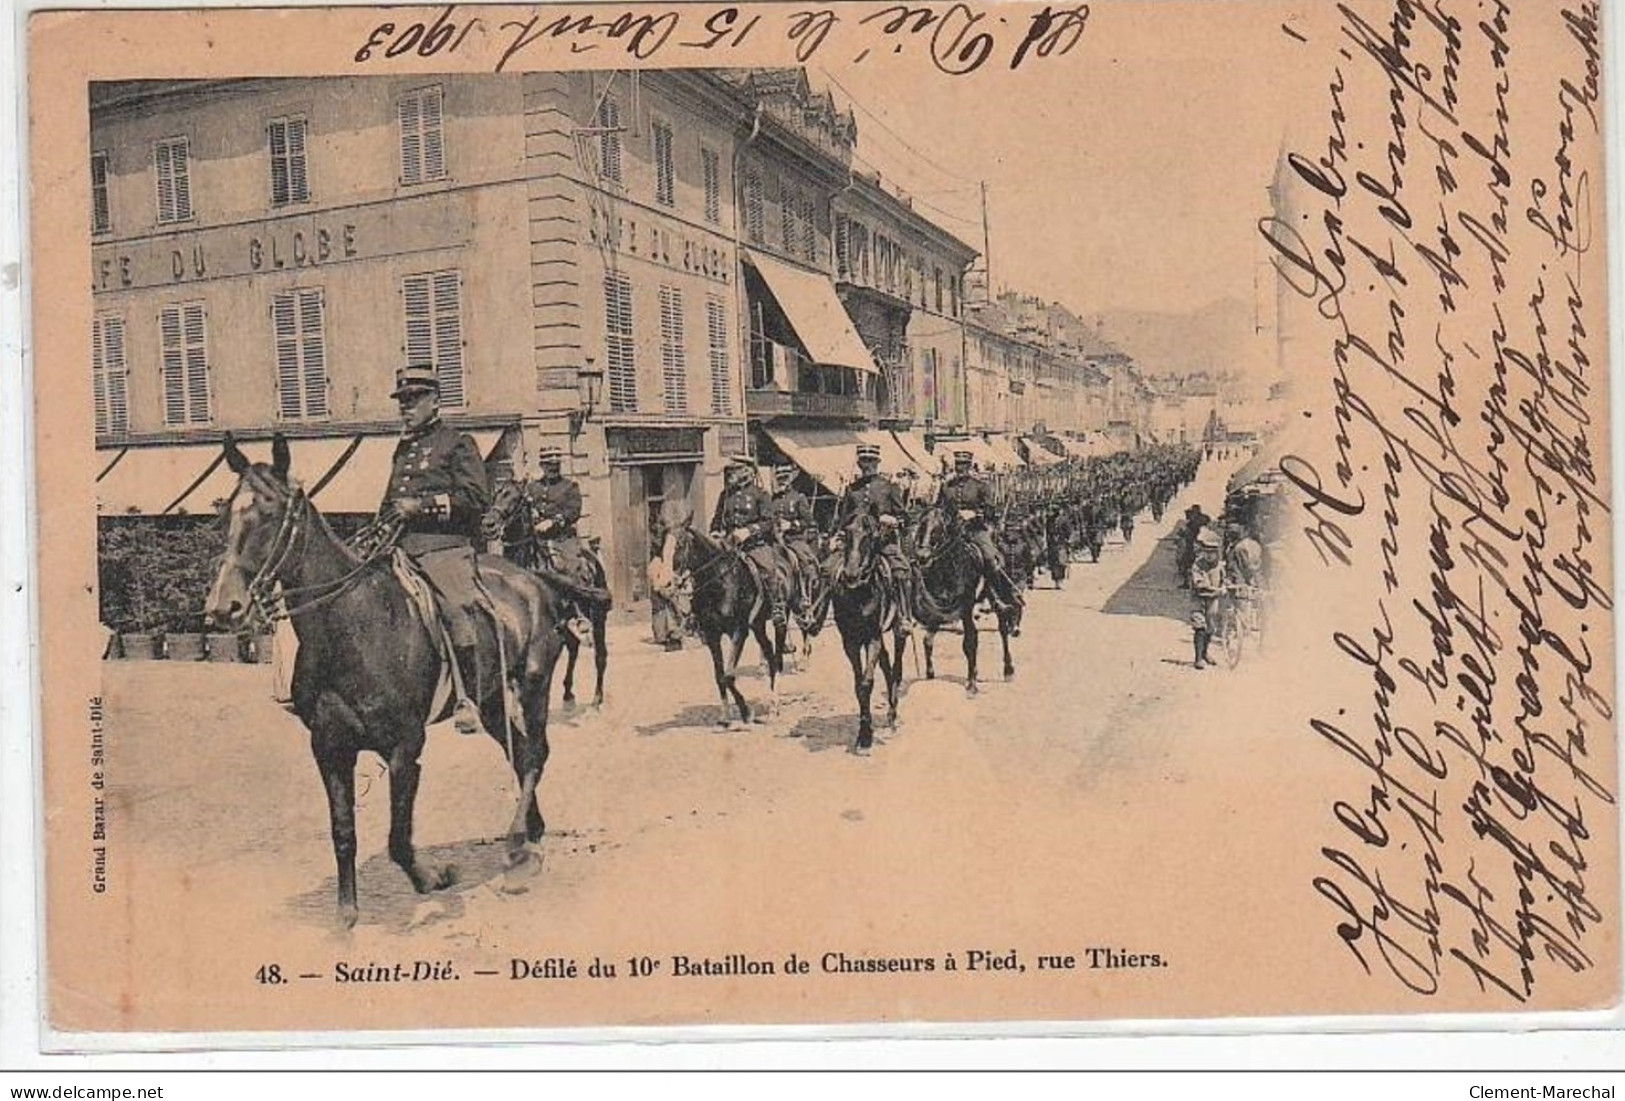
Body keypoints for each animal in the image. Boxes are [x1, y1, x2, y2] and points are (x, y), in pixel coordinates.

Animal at [203, 435, 572, 928]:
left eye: (269, 511)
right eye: (225, 513)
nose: (223, 607)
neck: (352, 625)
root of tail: (533, 580)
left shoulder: (404, 747)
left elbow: (398, 839)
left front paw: (434, 877)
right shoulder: (329, 748)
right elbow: (343, 831)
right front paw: (347, 912)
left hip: (534, 684)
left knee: (534, 753)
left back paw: (519, 851)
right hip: (492, 698)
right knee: (519, 752)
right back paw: (532, 833)